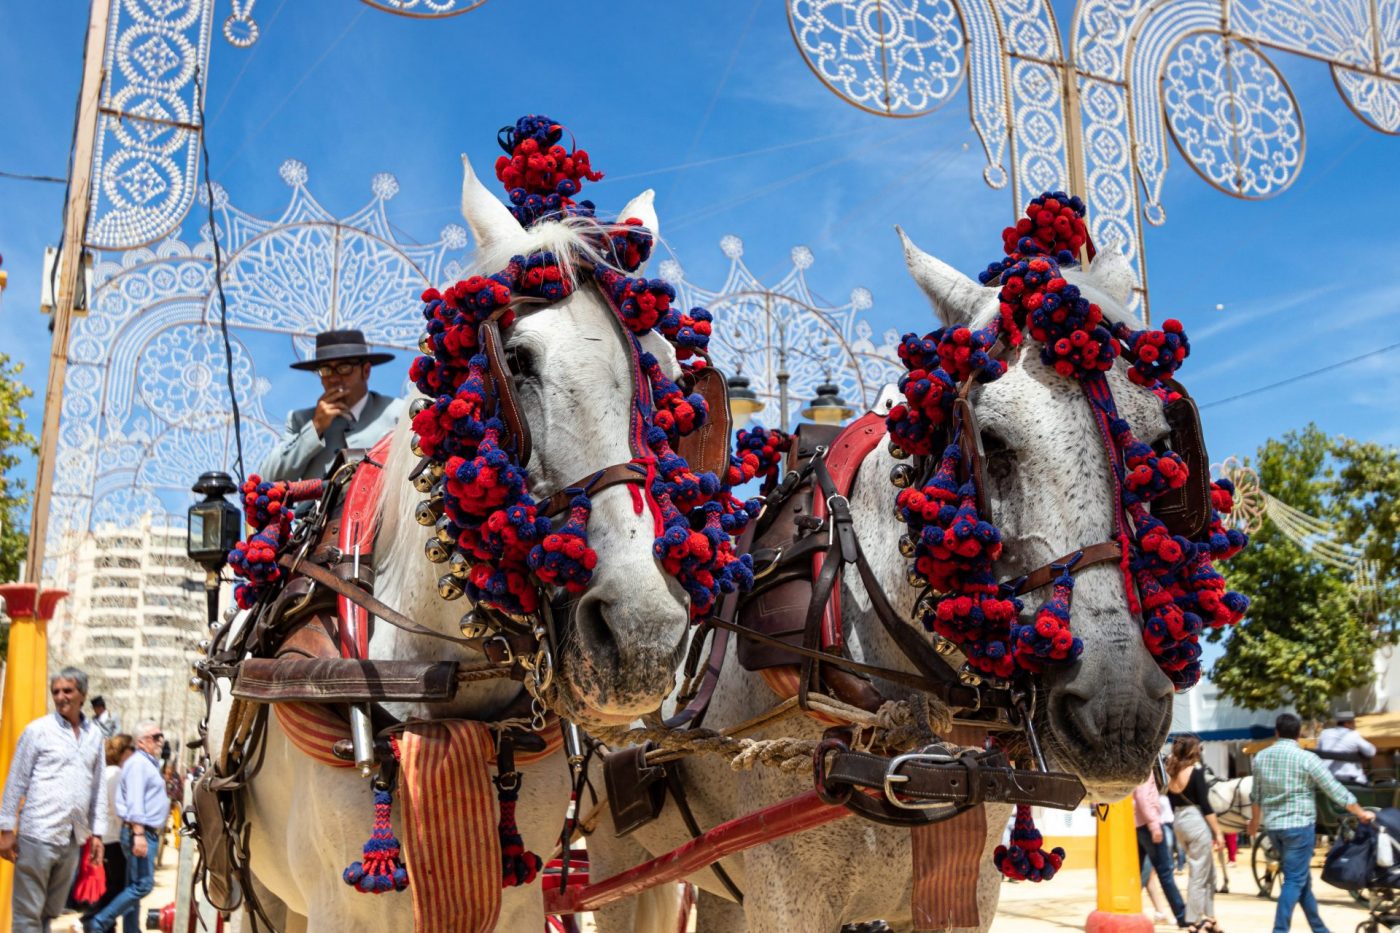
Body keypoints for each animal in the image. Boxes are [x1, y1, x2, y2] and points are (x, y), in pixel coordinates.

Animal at [205, 154, 694, 930]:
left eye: (668, 372)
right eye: (516, 359)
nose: (642, 633)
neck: (443, 688)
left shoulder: (519, 899)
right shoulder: (335, 907)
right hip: (256, 892)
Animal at [585, 228, 1187, 924]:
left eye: (1161, 444)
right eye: (989, 439)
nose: (1121, 715)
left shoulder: (964, 891)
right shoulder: (787, 899)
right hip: (620, 865)